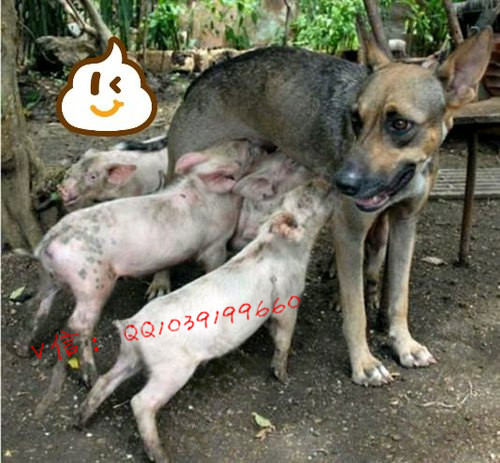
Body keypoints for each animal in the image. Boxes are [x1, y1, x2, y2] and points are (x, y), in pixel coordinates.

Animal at [25, 140, 263, 387]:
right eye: (242, 155)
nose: (254, 142)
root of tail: (50, 238)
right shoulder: (215, 245)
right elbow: (214, 265)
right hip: (92, 284)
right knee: (77, 325)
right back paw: (91, 376)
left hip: (48, 277)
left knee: (39, 304)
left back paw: (26, 348)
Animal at [78, 179, 334, 463]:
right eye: (304, 199)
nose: (325, 180)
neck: (287, 249)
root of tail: (131, 325)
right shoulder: (289, 298)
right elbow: (284, 337)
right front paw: (283, 377)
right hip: (171, 370)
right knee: (140, 402)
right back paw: (161, 455)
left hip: (129, 358)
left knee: (105, 380)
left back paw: (80, 421)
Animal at [165, 28, 493, 386]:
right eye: (355, 120)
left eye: (400, 124)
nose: (342, 182)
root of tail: (206, 75)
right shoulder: (349, 233)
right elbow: (356, 311)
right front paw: (364, 363)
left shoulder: (405, 225)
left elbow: (399, 297)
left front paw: (403, 343)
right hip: (179, 174)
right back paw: (159, 282)